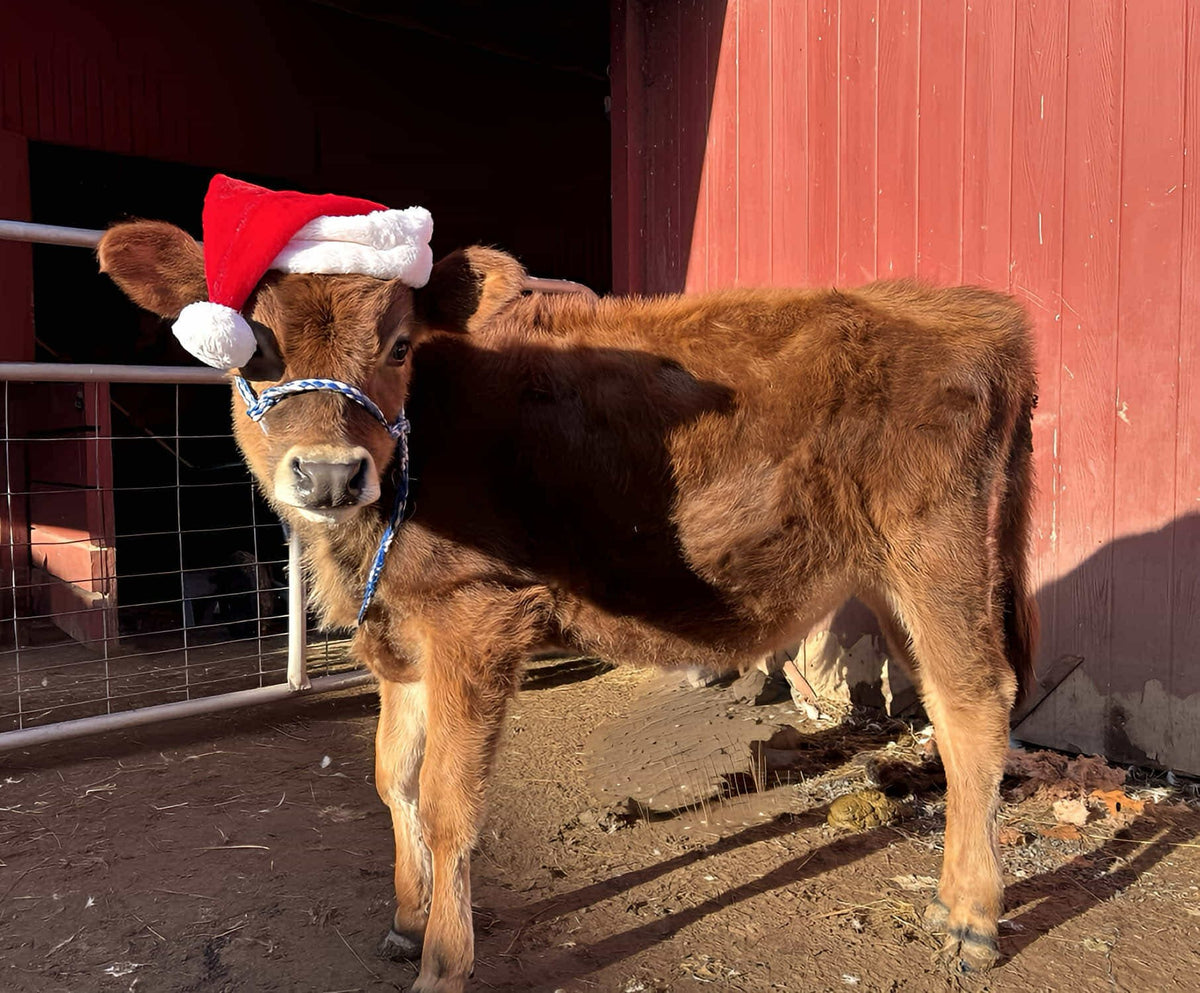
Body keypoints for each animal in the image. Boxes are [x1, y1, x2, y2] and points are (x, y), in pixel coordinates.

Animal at [99, 221, 1038, 993]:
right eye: (252, 347)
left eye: (400, 344)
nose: (330, 474)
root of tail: (974, 314)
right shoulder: (402, 631)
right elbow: (392, 776)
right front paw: (406, 920)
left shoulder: (476, 617)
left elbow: (447, 799)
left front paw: (444, 960)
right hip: (886, 577)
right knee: (945, 709)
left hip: (937, 552)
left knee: (976, 704)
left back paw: (971, 918)